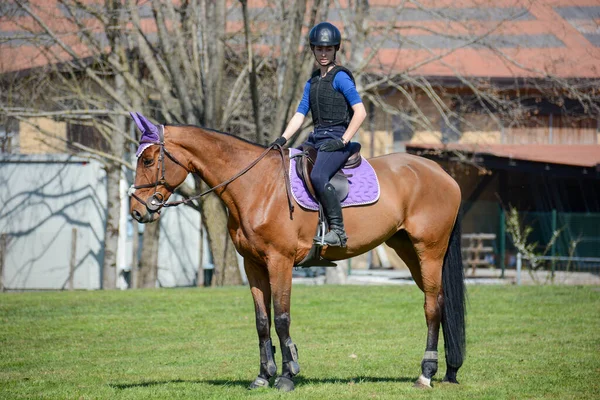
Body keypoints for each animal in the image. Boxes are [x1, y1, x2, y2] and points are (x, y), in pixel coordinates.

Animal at [129, 115, 466, 390]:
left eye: (148, 160)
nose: (136, 210)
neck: (256, 186)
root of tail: (440, 172)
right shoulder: (253, 265)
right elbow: (262, 321)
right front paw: (263, 376)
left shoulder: (280, 262)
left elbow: (281, 318)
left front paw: (287, 375)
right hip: (408, 250)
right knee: (440, 301)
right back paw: (448, 371)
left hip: (429, 251)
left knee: (431, 307)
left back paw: (426, 374)